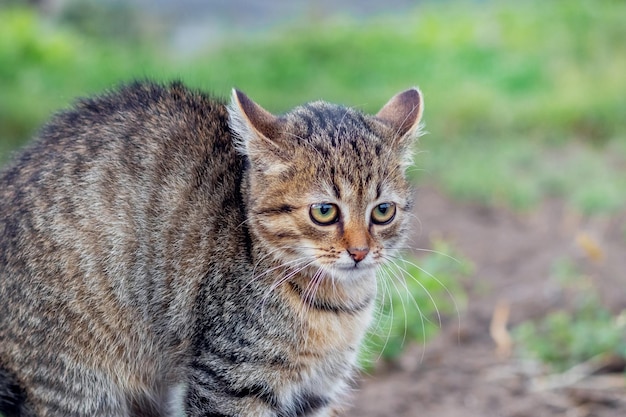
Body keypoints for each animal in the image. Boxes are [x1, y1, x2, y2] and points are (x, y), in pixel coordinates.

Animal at [0, 79, 422, 414]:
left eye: (383, 211)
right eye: (324, 211)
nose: (360, 252)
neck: (335, 306)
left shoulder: (316, 390)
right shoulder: (228, 381)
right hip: (79, 381)